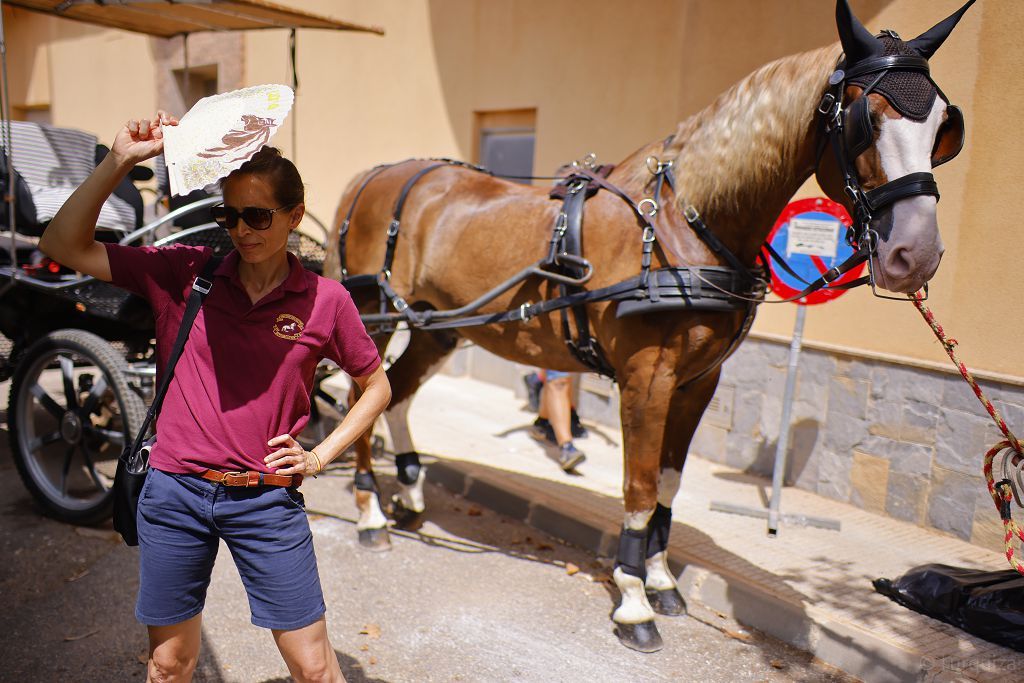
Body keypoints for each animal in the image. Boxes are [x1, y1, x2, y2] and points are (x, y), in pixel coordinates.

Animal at [325, 0, 966, 651]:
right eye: (865, 118)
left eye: (944, 127)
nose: (917, 253)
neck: (685, 223)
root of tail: (376, 174)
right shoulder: (646, 380)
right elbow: (637, 489)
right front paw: (633, 601)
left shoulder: (697, 383)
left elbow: (667, 487)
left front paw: (660, 581)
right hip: (376, 318)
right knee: (360, 399)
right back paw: (371, 513)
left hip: (440, 326)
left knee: (398, 396)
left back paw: (408, 488)